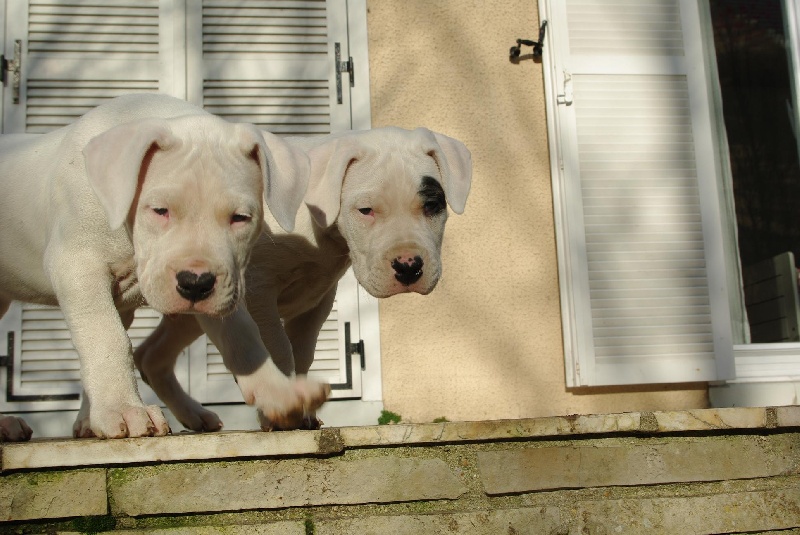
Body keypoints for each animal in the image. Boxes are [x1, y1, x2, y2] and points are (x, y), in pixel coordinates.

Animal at [0, 93, 328, 440]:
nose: (195, 283)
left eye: (240, 218)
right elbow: (108, 338)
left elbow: (244, 337)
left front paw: (282, 394)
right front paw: (123, 409)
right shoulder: (77, 265)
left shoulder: (226, 285)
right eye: (159, 210)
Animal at [135, 127, 472, 434]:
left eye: (432, 206)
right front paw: (282, 413)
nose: (408, 267)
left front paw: (303, 410)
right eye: (365, 210)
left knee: (150, 355)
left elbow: (303, 353)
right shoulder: (257, 292)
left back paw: (193, 415)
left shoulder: (317, 299)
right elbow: (278, 350)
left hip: (195, 305)